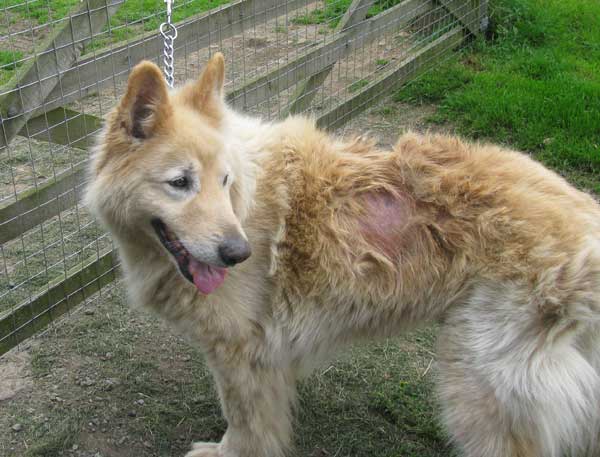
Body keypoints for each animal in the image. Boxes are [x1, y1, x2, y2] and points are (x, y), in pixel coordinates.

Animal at [84, 51, 600, 454]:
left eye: (224, 181)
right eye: (180, 183)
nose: (238, 253)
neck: (246, 203)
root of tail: (586, 217)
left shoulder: (242, 356)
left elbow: (246, 426)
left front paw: (226, 452)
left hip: (478, 386)